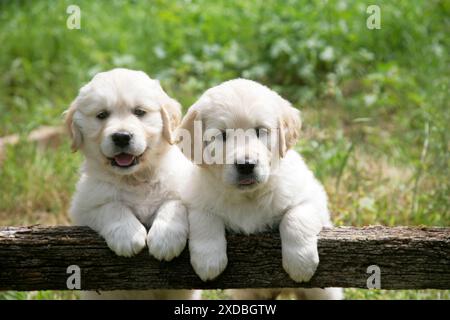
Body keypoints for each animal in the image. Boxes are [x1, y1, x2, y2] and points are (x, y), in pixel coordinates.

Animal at [65, 68, 197, 300]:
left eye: (139, 112)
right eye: (102, 115)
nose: (121, 137)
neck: (136, 179)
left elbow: (174, 203)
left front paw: (165, 239)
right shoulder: (83, 208)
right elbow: (111, 206)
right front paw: (128, 236)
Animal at [178, 79, 342, 298]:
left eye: (259, 131)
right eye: (222, 135)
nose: (246, 165)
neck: (248, 197)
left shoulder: (312, 196)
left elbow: (295, 217)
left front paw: (300, 261)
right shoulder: (195, 198)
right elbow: (204, 218)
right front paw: (208, 260)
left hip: (323, 292)